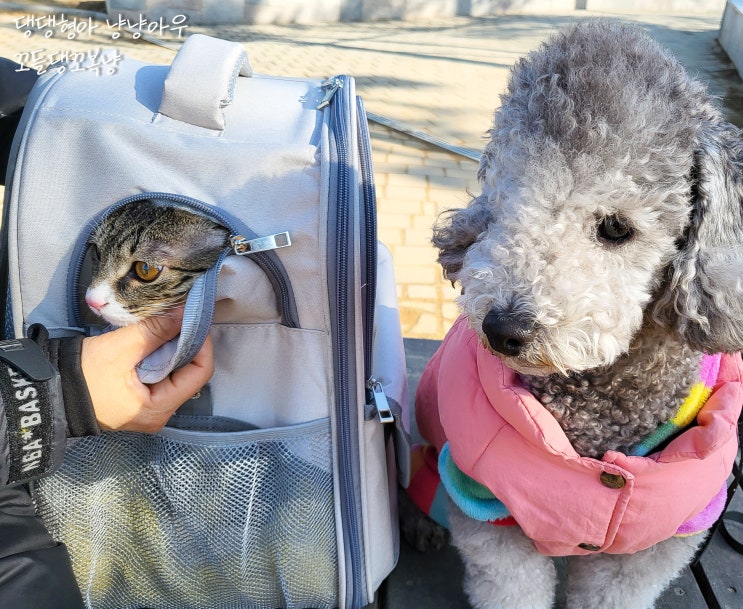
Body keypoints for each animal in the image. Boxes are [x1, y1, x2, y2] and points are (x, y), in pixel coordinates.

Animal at [406, 17, 743, 608]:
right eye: (506, 202)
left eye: (615, 227)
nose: (503, 329)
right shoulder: (486, 504)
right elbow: (511, 585)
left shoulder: (657, 543)